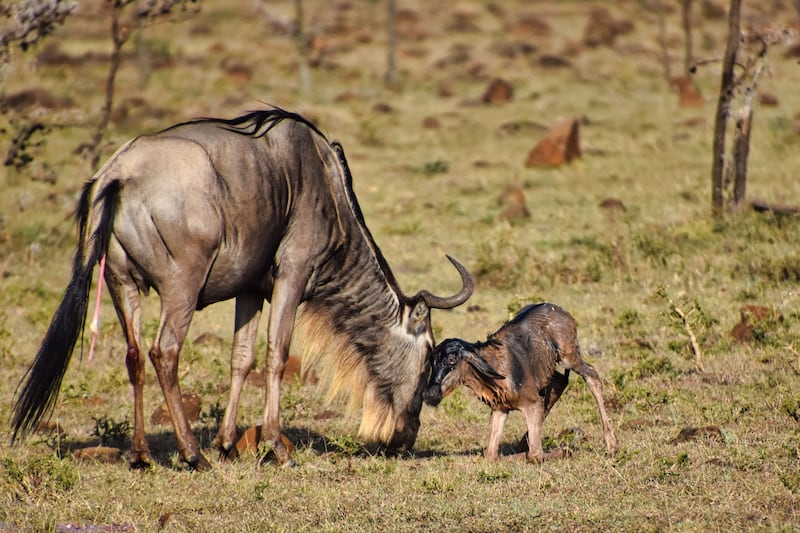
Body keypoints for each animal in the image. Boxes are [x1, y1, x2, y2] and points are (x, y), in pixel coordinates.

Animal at [424, 304, 620, 462]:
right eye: (432, 361)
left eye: (451, 359)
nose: (429, 394)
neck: (498, 370)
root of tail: (561, 310)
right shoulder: (500, 409)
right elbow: (491, 455)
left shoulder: (532, 404)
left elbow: (535, 456)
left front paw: (565, 451)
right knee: (560, 381)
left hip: (569, 357)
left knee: (592, 375)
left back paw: (612, 445)